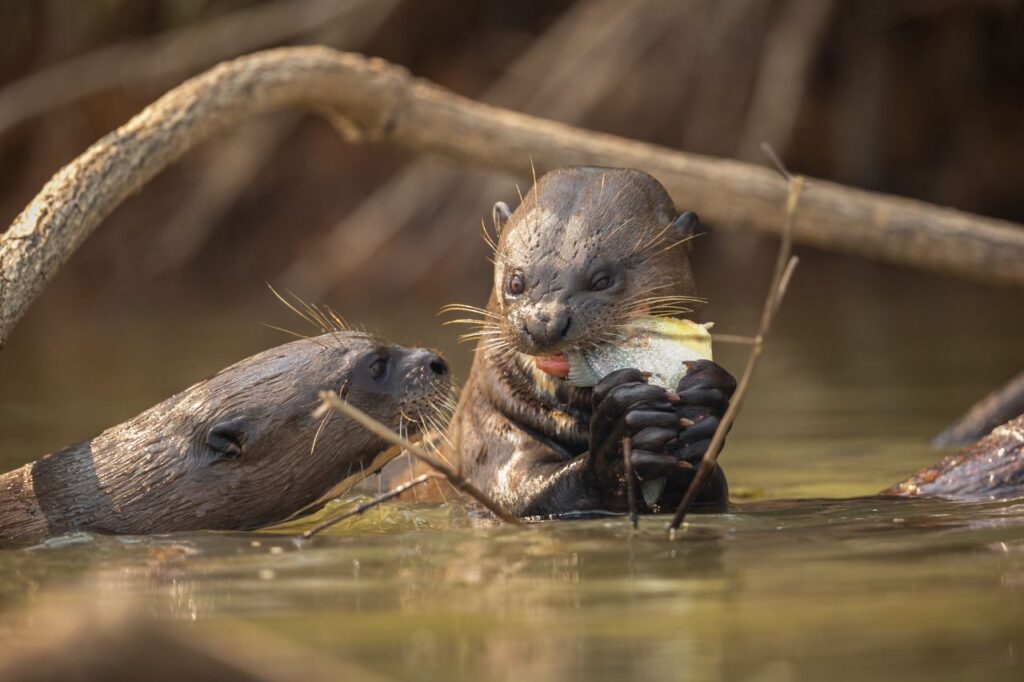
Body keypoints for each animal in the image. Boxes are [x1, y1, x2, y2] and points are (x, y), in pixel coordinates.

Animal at [448, 167, 737, 517]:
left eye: (601, 280)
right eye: (515, 281)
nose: (544, 322)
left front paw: (706, 403)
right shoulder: (491, 453)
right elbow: (526, 494)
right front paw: (620, 435)